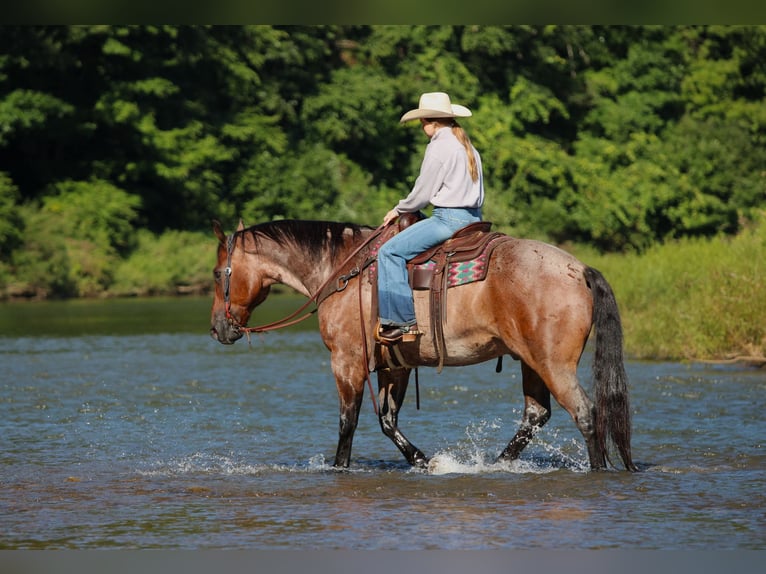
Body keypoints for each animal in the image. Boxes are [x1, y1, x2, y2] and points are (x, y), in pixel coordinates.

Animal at [210, 218, 637, 472]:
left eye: (217, 274)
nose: (217, 328)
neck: (343, 272)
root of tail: (578, 269)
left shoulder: (346, 361)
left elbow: (348, 422)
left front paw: (340, 468)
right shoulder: (395, 365)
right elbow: (387, 421)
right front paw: (423, 460)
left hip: (553, 364)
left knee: (585, 413)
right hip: (531, 362)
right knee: (535, 415)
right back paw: (494, 465)